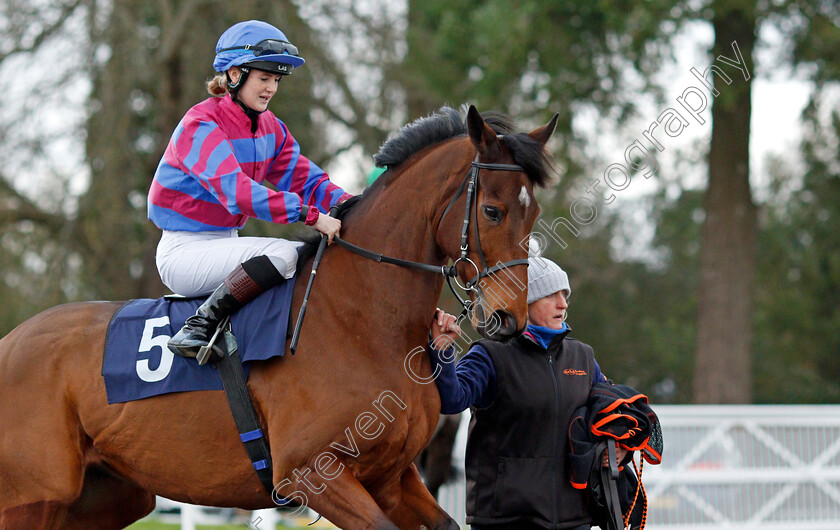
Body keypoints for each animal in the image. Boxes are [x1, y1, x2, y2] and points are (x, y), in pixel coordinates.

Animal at [0, 105, 556, 524]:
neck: (362, 322)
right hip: (32, 499)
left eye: (534, 213)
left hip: (107, 494)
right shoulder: (313, 474)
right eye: (492, 211)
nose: (508, 317)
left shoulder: (393, 477)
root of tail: (11, 341)